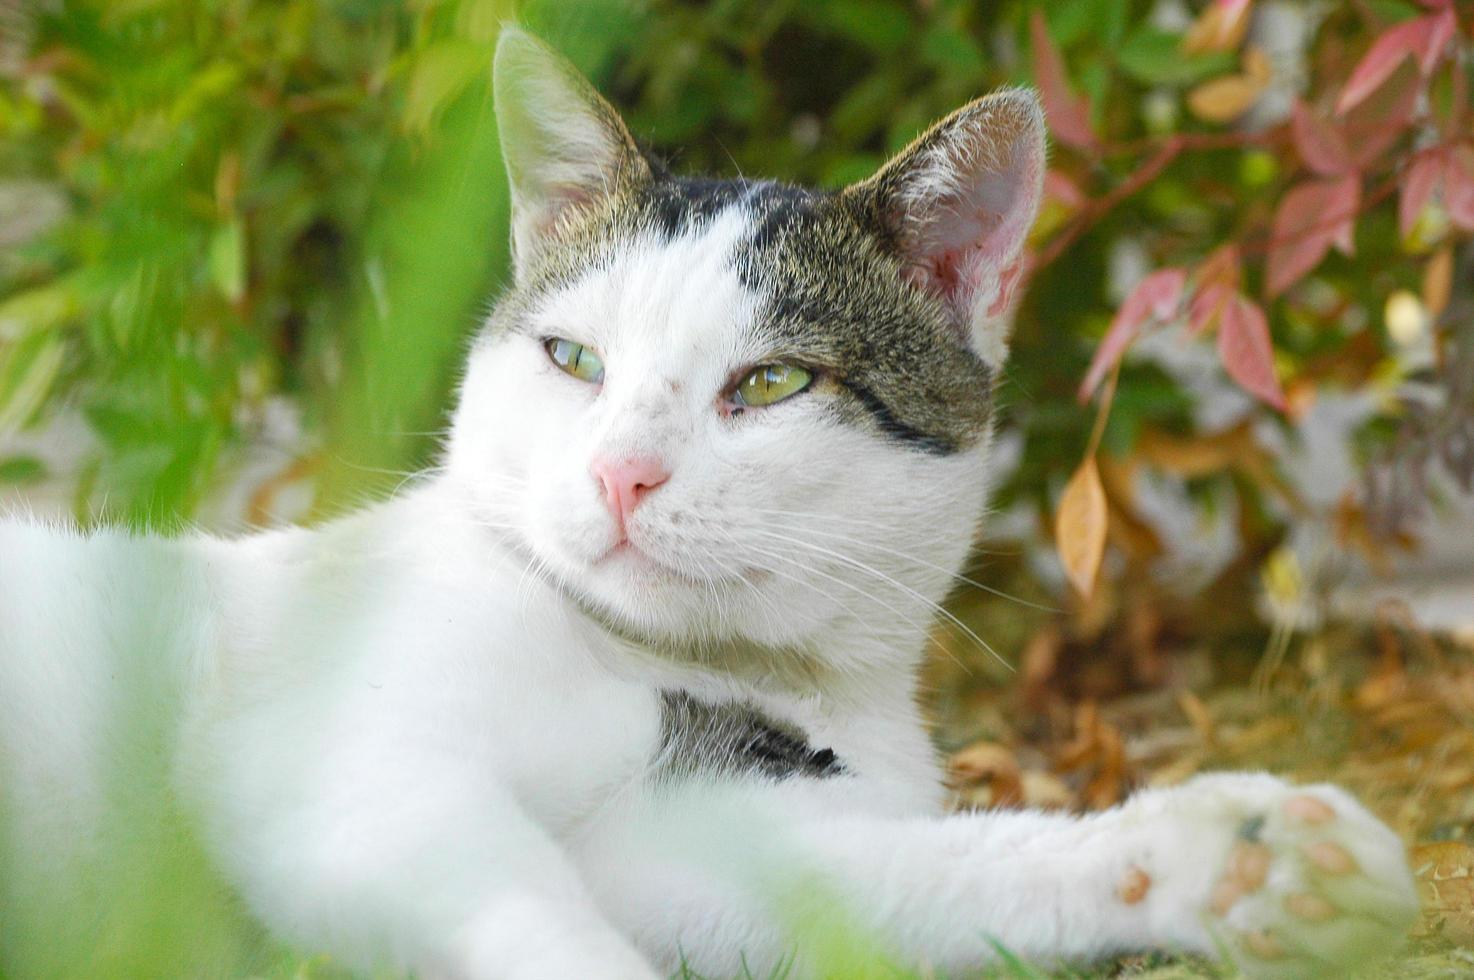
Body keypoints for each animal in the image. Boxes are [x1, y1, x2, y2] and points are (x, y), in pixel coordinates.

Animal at [0, 22, 1420, 978]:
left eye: (774, 380)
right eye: (573, 360)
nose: (619, 470)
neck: (712, 668)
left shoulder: (689, 853)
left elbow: (926, 877)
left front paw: (1242, 854)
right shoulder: (346, 770)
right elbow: (537, 926)